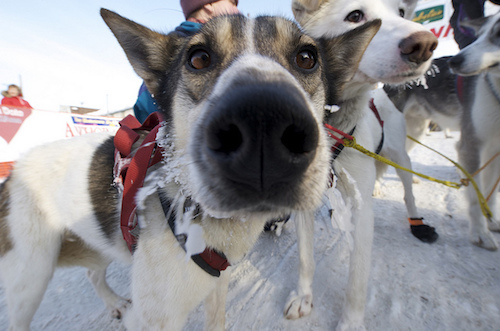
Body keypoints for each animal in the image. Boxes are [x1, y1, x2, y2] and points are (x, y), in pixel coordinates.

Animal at [0, 7, 378, 331]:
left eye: (306, 58)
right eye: (198, 58)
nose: (263, 124)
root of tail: (14, 170)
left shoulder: (217, 285)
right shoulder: (154, 318)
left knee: (94, 273)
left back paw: (114, 303)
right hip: (33, 274)